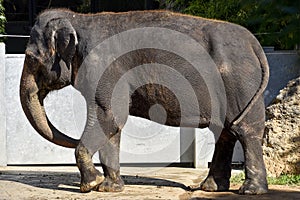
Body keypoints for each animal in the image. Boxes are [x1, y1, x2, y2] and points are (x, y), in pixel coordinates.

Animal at [20, 9, 270, 195]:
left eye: (31, 58)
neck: (78, 18)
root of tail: (255, 44)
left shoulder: (105, 67)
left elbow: (110, 117)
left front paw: (91, 185)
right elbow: (112, 124)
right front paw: (109, 188)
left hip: (239, 83)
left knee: (244, 131)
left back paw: (250, 191)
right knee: (226, 133)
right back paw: (211, 188)